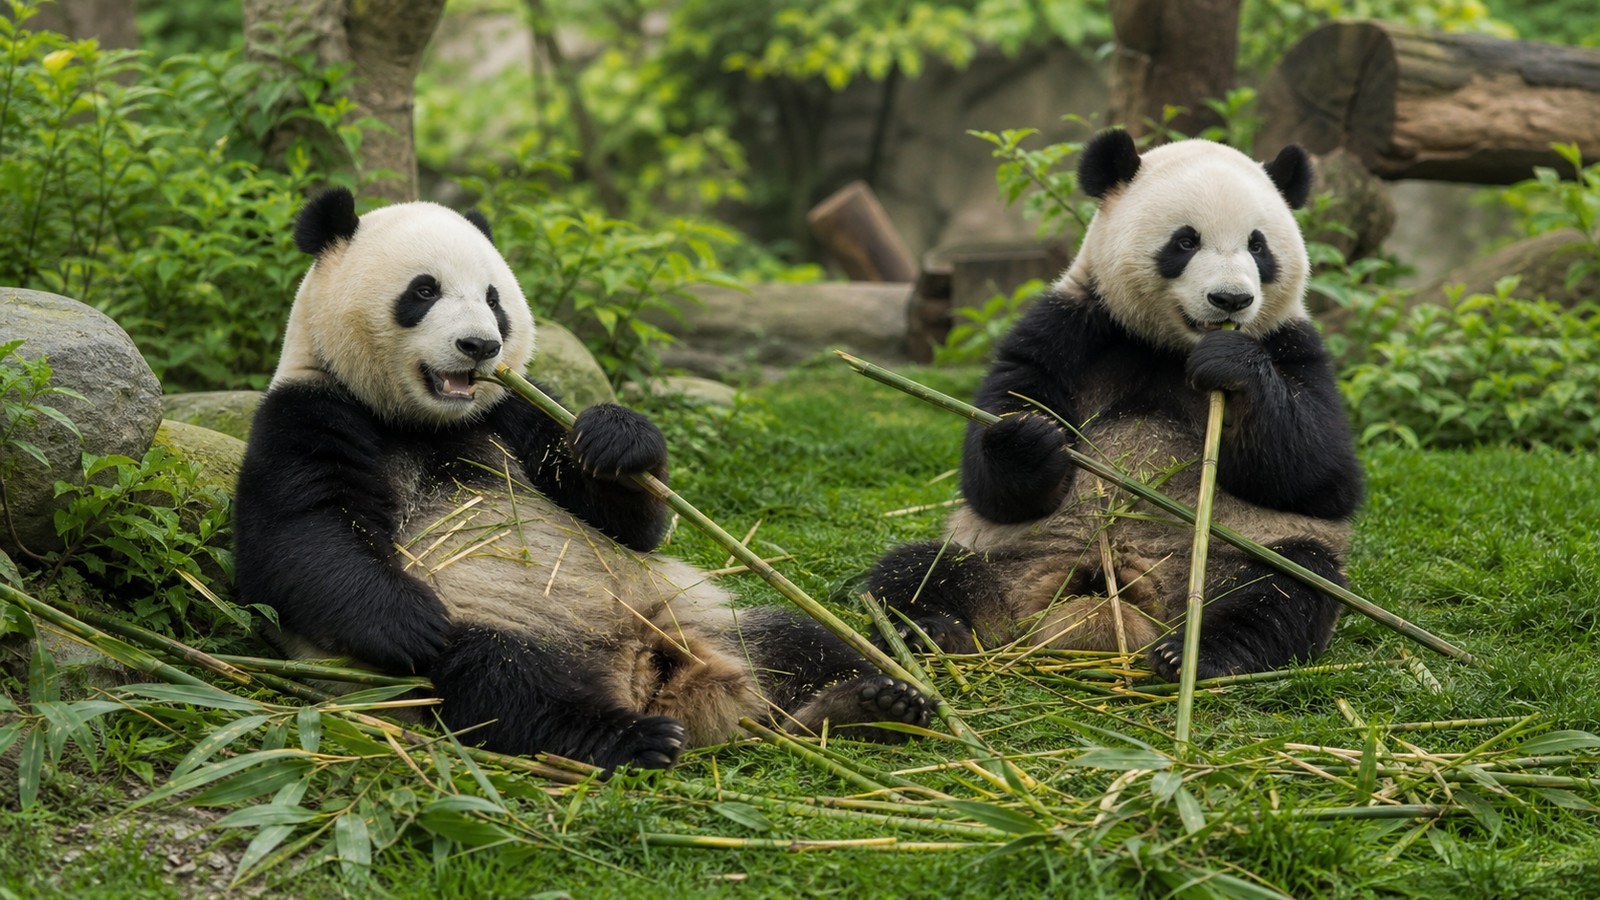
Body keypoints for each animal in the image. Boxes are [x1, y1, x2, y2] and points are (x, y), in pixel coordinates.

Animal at [233, 188, 929, 770]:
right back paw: (631, 738)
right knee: (503, 683)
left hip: (695, 610)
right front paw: (410, 619)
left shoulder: (514, 409)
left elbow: (626, 520)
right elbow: (296, 540)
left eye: (494, 299)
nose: (480, 347)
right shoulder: (311, 411)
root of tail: (651, 672)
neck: (427, 423)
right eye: (424, 291)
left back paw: (874, 703)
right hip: (503, 627)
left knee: (799, 640)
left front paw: (614, 438)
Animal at [868, 129, 1364, 680]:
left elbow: (1322, 477)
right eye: (1185, 241)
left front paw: (1232, 364)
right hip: (1001, 557)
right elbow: (989, 485)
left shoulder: (1294, 346)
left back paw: (1198, 653)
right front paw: (1029, 438)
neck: (1170, 348)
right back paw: (928, 631)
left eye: (1258, 245)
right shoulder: (1071, 326)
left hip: (1237, 554)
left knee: (1288, 586)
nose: (1231, 300)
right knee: (915, 570)